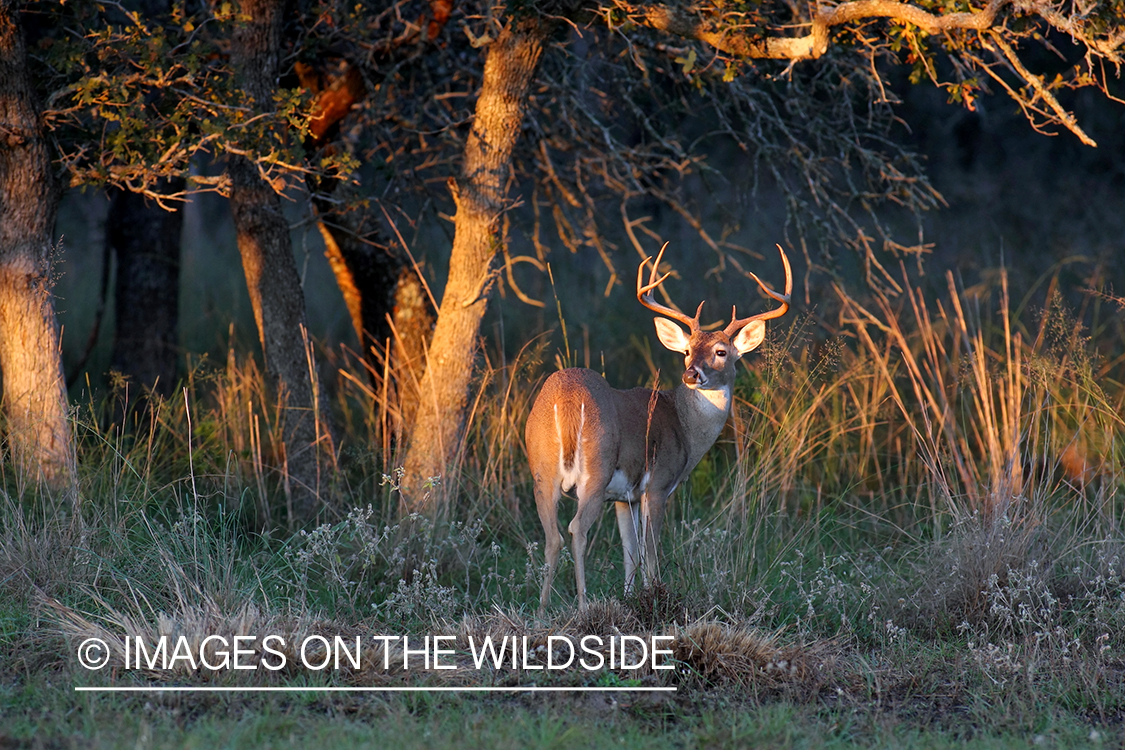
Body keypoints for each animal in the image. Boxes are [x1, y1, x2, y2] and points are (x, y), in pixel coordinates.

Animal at [524, 244, 792, 611]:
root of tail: (566, 400)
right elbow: (650, 553)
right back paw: (582, 606)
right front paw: (654, 596)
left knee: (552, 536)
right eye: (687, 350)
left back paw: (541, 610)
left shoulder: (625, 497)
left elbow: (630, 554)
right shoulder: (658, 484)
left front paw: (628, 599)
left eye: (721, 352)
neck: (683, 425)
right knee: (576, 529)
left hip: (541, 470)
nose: (692, 373)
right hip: (596, 468)